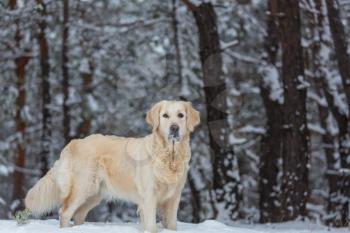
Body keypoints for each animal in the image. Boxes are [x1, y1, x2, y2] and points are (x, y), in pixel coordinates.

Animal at [23, 100, 200, 233]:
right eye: (165, 116)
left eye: (181, 115)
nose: (174, 128)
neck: (170, 156)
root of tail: (73, 143)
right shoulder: (149, 197)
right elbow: (151, 226)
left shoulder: (174, 197)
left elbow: (172, 224)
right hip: (82, 188)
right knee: (65, 212)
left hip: (94, 194)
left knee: (79, 214)